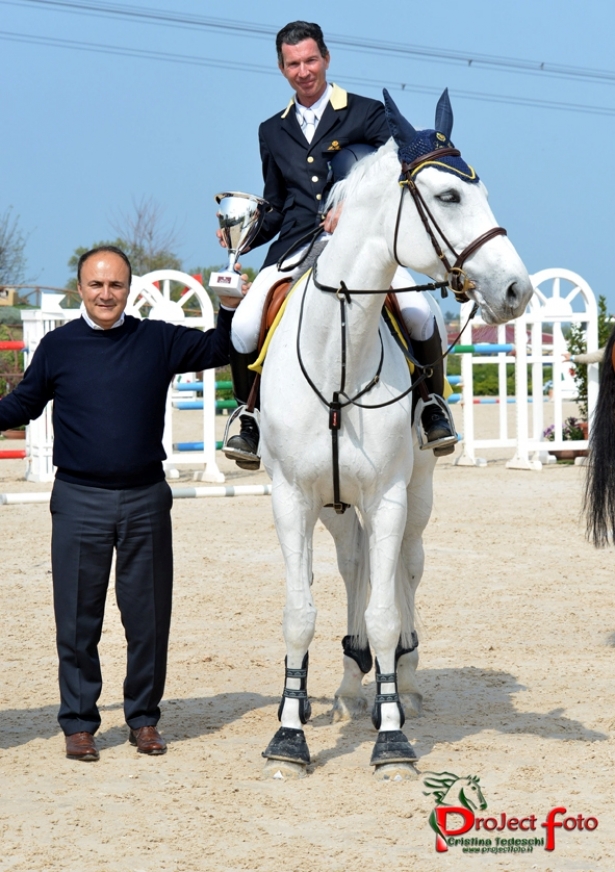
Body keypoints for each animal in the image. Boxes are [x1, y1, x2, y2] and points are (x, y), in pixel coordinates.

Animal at [258, 88, 532, 776]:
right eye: (449, 195)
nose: (517, 290)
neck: (337, 356)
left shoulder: (387, 496)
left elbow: (385, 611)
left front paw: (392, 738)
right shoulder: (292, 498)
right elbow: (299, 611)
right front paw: (289, 734)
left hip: (418, 491)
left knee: (406, 567)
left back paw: (400, 680)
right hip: (334, 506)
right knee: (353, 564)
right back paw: (346, 686)